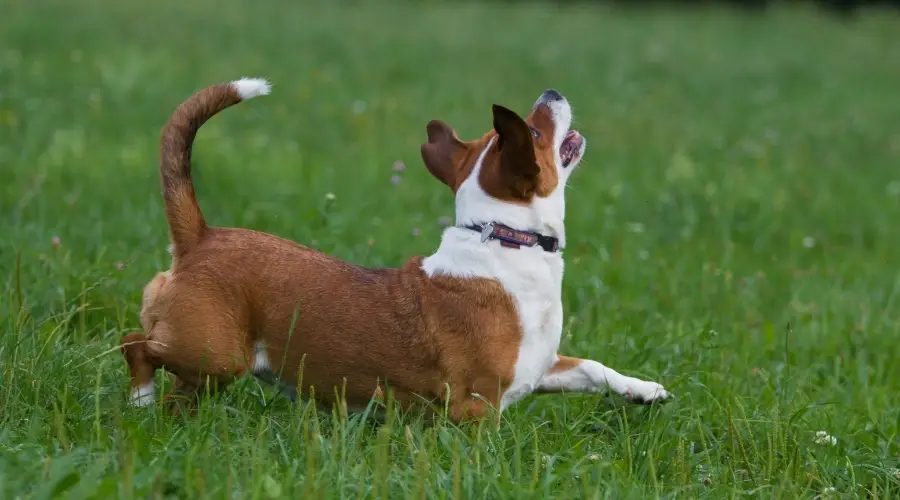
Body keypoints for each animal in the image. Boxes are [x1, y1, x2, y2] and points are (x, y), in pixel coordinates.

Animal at [119, 78, 668, 422]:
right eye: (535, 131)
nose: (552, 92)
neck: (504, 237)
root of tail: (201, 235)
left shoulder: (543, 368)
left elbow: (593, 369)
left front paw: (643, 390)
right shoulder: (476, 406)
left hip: (208, 370)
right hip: (216, 355)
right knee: (135, 344)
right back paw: (140, 402)